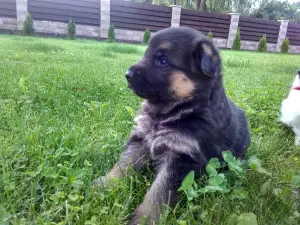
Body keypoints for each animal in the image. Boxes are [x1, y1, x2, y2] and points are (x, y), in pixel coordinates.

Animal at [94, 26, 251, 225]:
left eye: (162, 61)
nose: (127, 74)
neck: (173, 110)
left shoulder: (181, 156)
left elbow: (159, 191)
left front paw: (145, 218)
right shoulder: (141, 139)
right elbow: (123, 164)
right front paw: (105, 185)